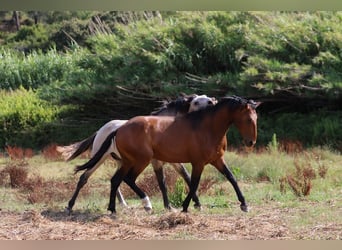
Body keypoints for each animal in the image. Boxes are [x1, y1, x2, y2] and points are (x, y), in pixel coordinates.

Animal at [57, 94, 215, 213]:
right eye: (195, 102)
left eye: (207, 98)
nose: (211, 103)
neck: (164, 128)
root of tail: (101, 130)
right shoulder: (157, 162)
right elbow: (162, 183)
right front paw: (168, 206)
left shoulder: (175, 162)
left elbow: (187, 178)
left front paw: (197, 204)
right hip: (100, 159)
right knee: (84, 177)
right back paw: (70, 206)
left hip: (122, 162)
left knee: (115, 180)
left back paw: (122, 205)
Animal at [76, 94, 260, 214]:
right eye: (248, 119)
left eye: (256, 118)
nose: (251, 142)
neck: (206, 128)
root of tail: (119, 128)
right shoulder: (197, 163)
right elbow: (192, 183)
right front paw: (185, 207)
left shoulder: (217, 160)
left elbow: (231, 178)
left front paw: (244, 204)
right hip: (139, 160)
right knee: (125, 179)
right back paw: (146, 204)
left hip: (127, 161)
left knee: (116, 180)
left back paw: (113, 209)